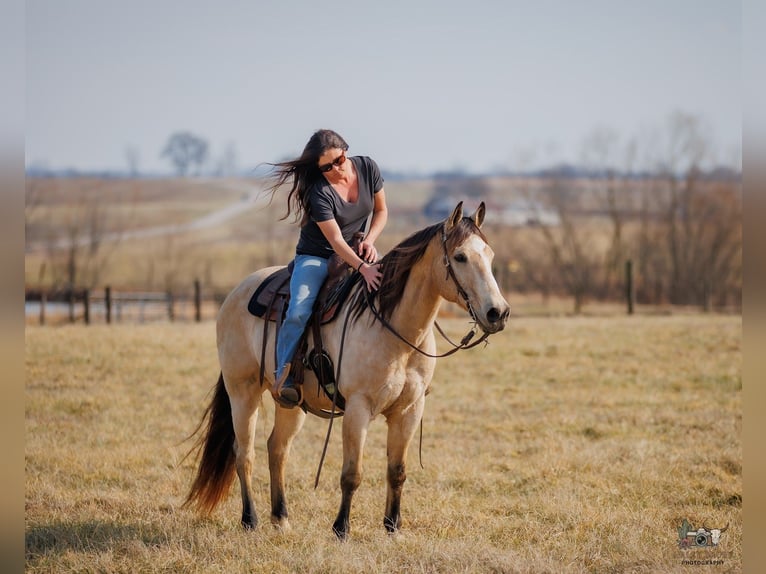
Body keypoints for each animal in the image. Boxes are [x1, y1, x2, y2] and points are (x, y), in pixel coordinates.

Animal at [184, 201, 510, 539]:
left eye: (490, 255)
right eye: (460, 256)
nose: (497, 313)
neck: (394, 331)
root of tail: (236, 293)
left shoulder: (409, 410)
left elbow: (397, 471)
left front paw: (392, 527)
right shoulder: (357, 408)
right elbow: (352, 473)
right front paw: (341, 528)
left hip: (289, 401)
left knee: (277, 448)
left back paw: (281, 518)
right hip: (243, 391)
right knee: (244, 453)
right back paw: (250, 520)